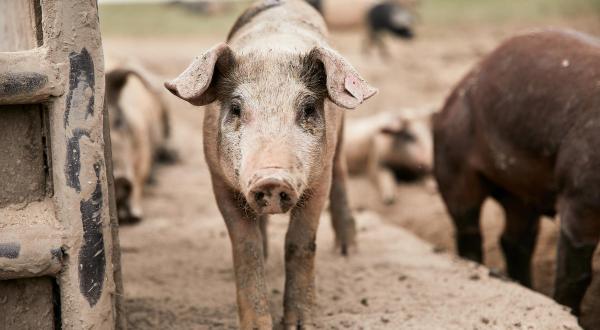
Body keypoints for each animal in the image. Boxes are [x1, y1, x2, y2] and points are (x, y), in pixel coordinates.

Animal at [162, 0, 372, 328]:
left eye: (308, 108)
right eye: (236, 108)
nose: (272, 180)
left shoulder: (318, 181)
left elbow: (300, 243)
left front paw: (301, 324)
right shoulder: (219, 181)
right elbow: (246, 248)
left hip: (339, 145)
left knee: (341, 174)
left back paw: (347, 251)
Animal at [434, 29, 600, 328]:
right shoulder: (580, 202)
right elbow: (575, 276)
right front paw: (567, 313)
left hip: (522, 194)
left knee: (516, 240)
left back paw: (526, 288)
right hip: (452, 163)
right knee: (468, 228)